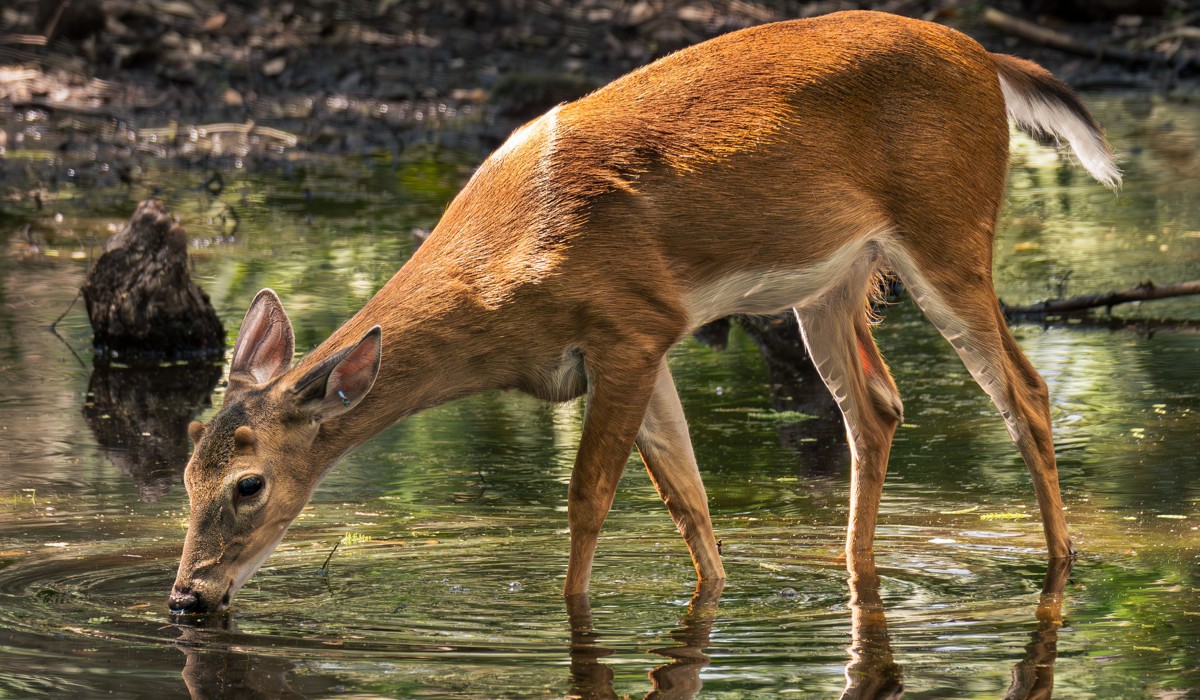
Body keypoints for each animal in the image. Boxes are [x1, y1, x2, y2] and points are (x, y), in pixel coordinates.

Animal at [169, 10, 1119, 613]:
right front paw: (719, 594)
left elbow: (589, 497)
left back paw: (1061, 566)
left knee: (1024, 392)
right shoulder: (641, 342)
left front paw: (573, 613)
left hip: (948, 232)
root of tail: (990, 60)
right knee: (875, 406)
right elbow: (687, 500)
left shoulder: (629, 325)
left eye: (249, 484)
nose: (188, 596)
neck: (504, 270)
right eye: (185, 471)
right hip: (832, 282)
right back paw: (855, 574)